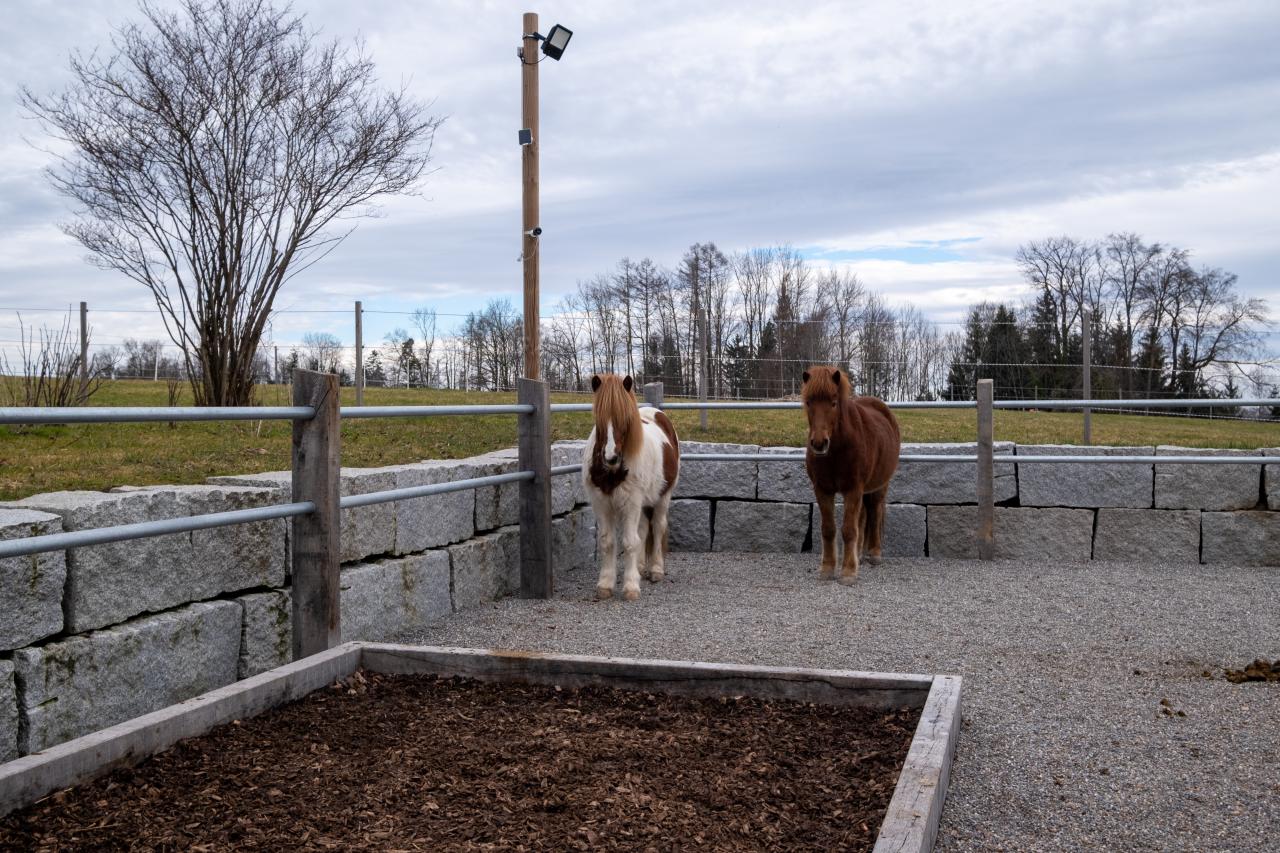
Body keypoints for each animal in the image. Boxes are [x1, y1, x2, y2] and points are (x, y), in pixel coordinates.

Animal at [581, 373, 680, 601]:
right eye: (599, 419)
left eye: (625, 420)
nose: (611, 457)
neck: (612, 472)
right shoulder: (601, 503)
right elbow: (608, 542)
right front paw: (605, 584)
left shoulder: (632, 503)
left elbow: (629, 542)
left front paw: (631, 587)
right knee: (643, 530)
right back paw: (641, 567)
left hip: (662, 497)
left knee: (657, 527)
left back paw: (655, 570)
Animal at [801, 366, 901, 585]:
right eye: (809, 402)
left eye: (833, 402)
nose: (819, 443)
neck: (837, 451)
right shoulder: (822, 489)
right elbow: (829, 528)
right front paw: (827, 569)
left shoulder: (853, 488)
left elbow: (848, 530)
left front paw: (848, 572)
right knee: (863, 516)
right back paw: (860, 554)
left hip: (880, 485)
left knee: (875, 512)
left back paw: (874, 554)